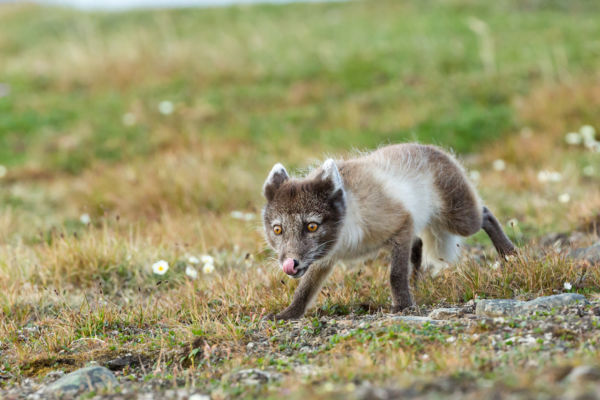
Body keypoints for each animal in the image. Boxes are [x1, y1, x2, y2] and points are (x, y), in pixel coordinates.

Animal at [262, 142, 516, 320]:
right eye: (278, 229)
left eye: (312, 226)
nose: (290, 264)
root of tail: (436, 150)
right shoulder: (324, 257)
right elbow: (304, 289)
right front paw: (288, 314)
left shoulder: (401, 224)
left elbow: (395, 274)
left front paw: (402, 306)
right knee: (418, 245)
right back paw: (416, 286)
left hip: (459, 220)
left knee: (485, 214)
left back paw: (509, 254)